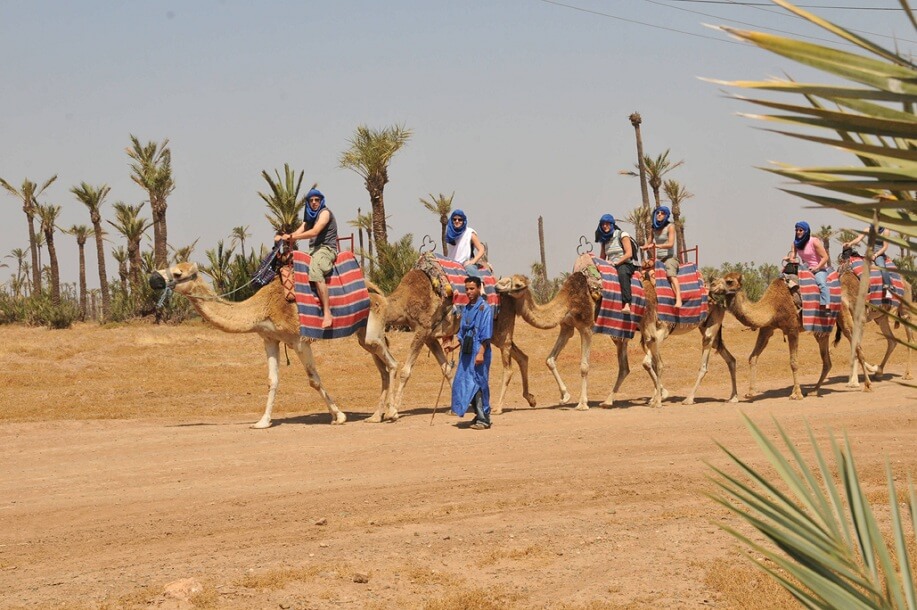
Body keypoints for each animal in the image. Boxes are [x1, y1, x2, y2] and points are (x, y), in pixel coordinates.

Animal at [147, 262, 398, 428]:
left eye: (177, 272)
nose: (152, 278)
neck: (262, 307)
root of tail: (377, 290)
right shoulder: (270, 339)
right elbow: (272, 380)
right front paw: (262, 421)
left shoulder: (299, 340)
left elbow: (314, 380)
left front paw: (339, 416)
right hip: (363, 334)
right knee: (383, 368)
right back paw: (376, 416)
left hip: (373, 327)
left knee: (392, 364)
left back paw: (393, 413)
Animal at [382, 266, 536, 414]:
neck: (405, 301)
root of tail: (511, 298)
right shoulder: (429, 337)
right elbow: (447, 369)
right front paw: (455, 407)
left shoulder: (422, 329)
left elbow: (405, 371)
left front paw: (392, 411)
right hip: (495, 335)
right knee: (522, 356)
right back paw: (531, 399)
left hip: (501, 328)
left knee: (509, 361)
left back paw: (500, 407)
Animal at [494, 270, 736, 408]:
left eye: (516, 284)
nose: (497, 285)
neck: (568, 299)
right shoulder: (568, 327)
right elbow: (549, 359)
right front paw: (565, 396)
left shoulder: (587, 327)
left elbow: (584, 366)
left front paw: (582, 403)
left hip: (693, 326)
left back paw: (682, 397)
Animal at [712, 270, 868, 400]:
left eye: (729, 281)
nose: (712, 284)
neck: (772, 305)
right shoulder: (767, 329)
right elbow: (753, 357)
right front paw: (750, 392)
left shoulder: (792, 329)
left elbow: (793, 362)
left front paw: (796, 394)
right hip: (821, 329)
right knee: (827, 361)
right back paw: (814, 390)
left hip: (843, 314)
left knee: (856, 344)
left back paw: (867, 385)